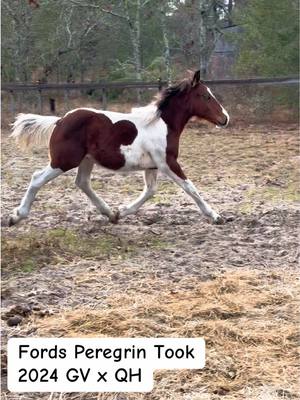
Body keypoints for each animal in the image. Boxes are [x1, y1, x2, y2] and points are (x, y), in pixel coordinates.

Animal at [8, 70, 230, 227]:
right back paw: (16, 216)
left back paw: (109, 213)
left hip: (86, 160)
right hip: (64, 160)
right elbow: (190, 187)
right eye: (205, 96)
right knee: (37, 178)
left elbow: (150, 191)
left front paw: (120, 212)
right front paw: (216, 216)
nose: (225, 118)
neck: (163, 125)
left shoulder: (152, 167)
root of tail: (60, 120)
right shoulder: (167, 163)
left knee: (82, 182)